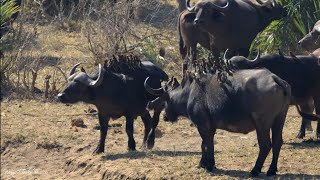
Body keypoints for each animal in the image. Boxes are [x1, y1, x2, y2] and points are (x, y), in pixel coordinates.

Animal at [145, 65, 292, 176]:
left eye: (164, 100)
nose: (164, 116)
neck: (190, 92)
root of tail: (274, 78)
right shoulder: (211, 127)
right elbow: (206, 144)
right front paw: (206, 163)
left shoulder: (202, 125)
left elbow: (206, 144)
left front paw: (208, 166)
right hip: (279, 119)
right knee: (278, 143)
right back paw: (271, 170)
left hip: (262, 124)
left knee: (266, 145)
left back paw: (255, 170)